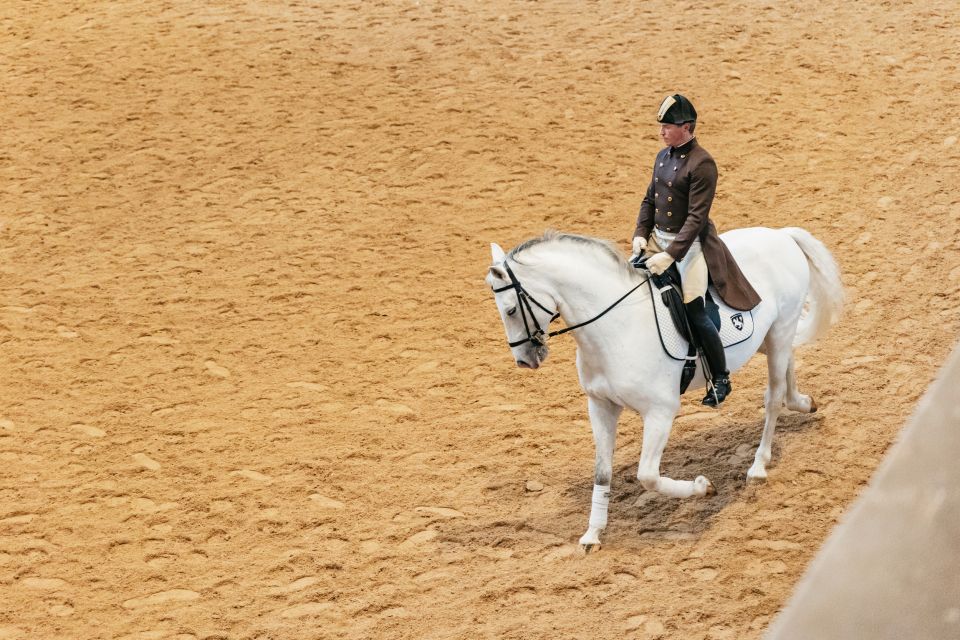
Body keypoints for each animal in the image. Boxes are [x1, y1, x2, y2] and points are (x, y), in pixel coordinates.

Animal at [488, 229, 840, 552]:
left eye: (510, 310)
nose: (524, 361)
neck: (616, 327)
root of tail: (781, 234)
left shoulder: (660, 412)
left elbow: (648, 476)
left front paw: (703, 487)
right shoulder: (600, 406)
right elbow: (602, 472)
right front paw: (592, 534)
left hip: (780, 328)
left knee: (773, 398)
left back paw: (758, 465)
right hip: (772, 337)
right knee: (787, 367)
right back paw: (803, 402)